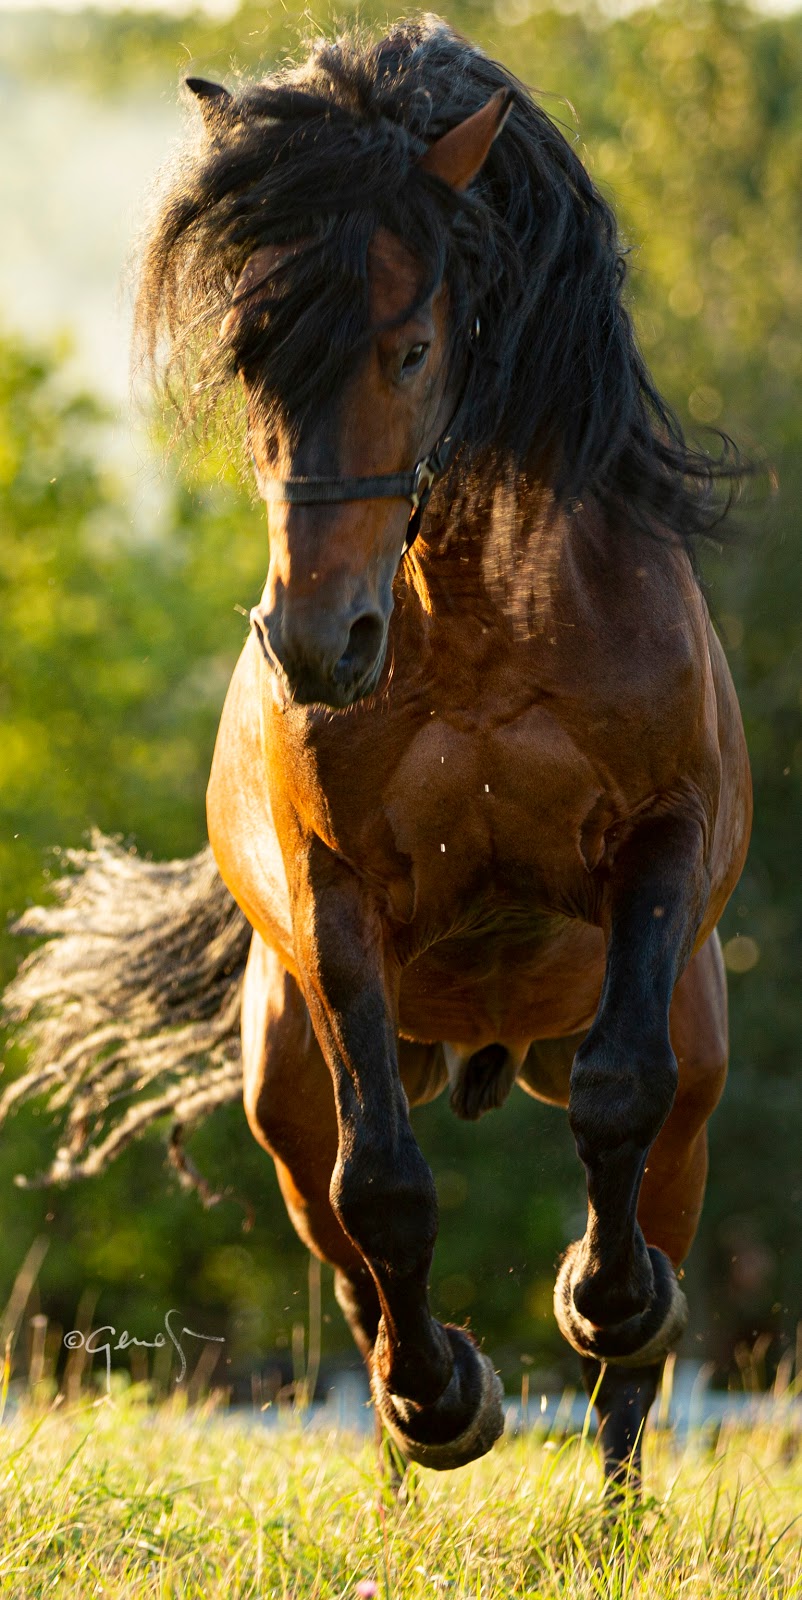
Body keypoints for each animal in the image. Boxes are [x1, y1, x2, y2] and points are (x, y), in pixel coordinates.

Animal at [4, 15, 749, 1484]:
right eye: (250, 357)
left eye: (409, 351)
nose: (315, 642)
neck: (479, 625)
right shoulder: (335, 893)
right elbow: (385, 1191)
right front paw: (448, 1396)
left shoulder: (663, 839)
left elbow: (616, 1100)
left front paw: (601, 1298)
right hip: (285, 1080)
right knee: (349, 1256)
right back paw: (417, 1424)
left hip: (694, 1061)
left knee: (641, 1313)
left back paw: (619, 1435)